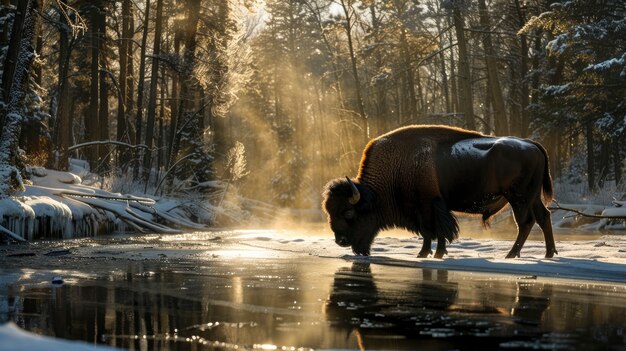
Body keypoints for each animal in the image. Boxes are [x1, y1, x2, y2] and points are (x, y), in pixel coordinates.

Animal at [322, 125, 556, 260]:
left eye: (349, 213)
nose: (340, 241)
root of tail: (531, 144)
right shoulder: (430, 208)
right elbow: (436, 231)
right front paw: (435, 253)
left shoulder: (427, 206)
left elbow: (431, 230)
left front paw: (425, 253)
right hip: (532, 197)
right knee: (544, 217)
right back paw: (548, 253)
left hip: (518, 198)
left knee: (525, 222)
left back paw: (511, 254)